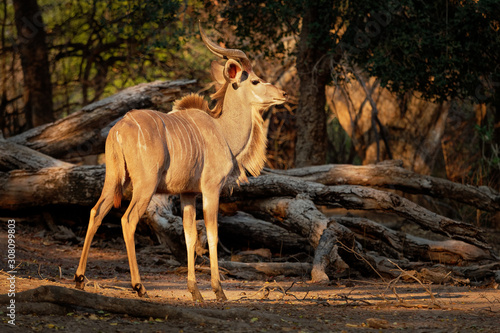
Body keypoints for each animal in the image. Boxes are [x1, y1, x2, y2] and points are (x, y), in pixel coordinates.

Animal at [72, 25, 288, 300]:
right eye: (255, 80)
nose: (283, 94)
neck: (222, 130)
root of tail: (120, 128)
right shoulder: (210, 189)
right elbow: (212, 234)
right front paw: (218, 291)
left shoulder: (187, 194)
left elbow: (189, 236)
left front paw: (195, 292)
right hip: (145, 185)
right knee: (128, 220)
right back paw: (139, 286)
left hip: (114, 180)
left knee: (96, 212)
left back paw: (79, 278)